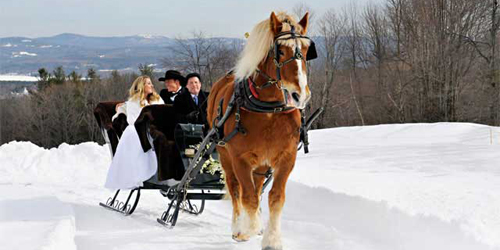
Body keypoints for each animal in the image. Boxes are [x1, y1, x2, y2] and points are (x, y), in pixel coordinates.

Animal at [207, 10, 316, 249]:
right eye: (280, 50)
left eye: (305, 50)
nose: (300, 95)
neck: (268, 111)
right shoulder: (240, 158)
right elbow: (246, 195)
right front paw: (246, 229)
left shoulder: (286, 157)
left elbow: (275, 197)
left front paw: (272, 239)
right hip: (224, 154)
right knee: (235, 187)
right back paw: (240, 225)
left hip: (262, 165)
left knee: (257, 188)